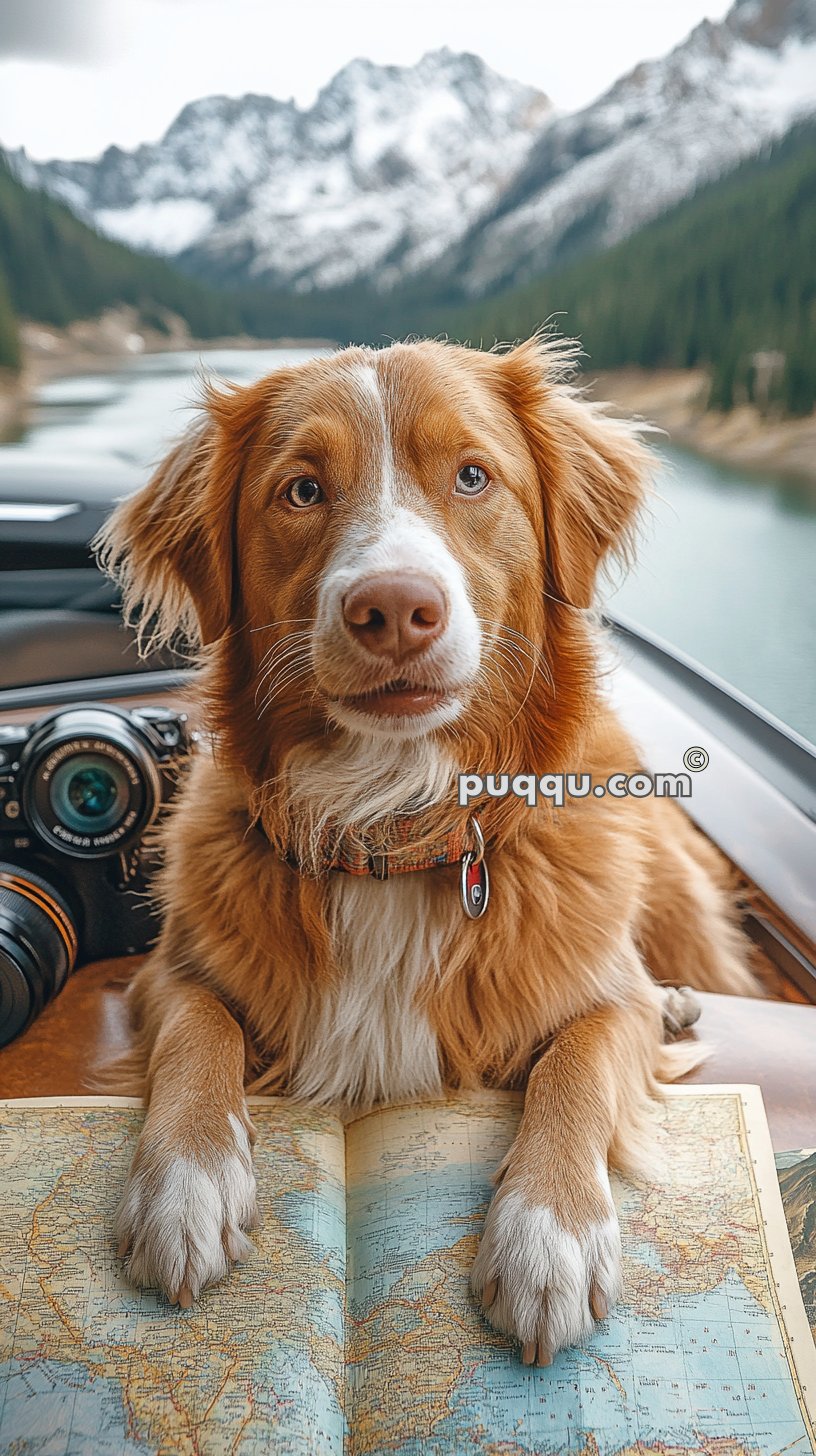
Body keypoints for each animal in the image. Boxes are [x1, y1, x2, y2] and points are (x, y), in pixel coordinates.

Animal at [92, 337, 757, 1362]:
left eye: (473, 477)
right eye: (301, 491)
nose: (396, 608)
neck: (393, 823)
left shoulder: (607, 999)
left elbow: (579, 1060)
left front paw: (548, 1231)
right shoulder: (170, 971)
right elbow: (197, 1032)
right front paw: (186, 1181)